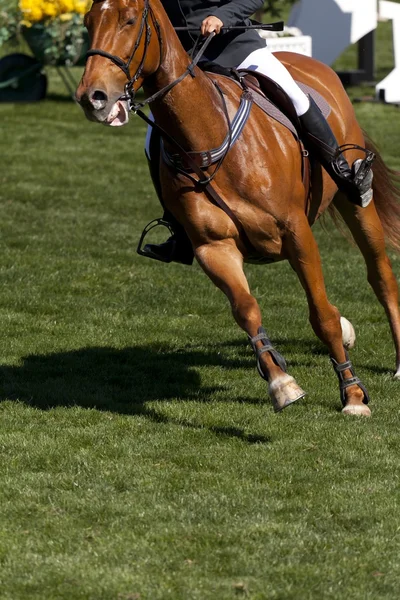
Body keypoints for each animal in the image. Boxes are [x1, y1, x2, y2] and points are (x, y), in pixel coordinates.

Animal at [76, 0, 400, 414]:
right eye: (89, 22)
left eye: (130, 21)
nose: (92, 97)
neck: (206, 134)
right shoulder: (213, 248)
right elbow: (246, 310)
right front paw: (281, 382)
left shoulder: (296, 233)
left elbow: (321, 315)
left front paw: (353, 394)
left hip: (356, 203)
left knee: (381, 276)